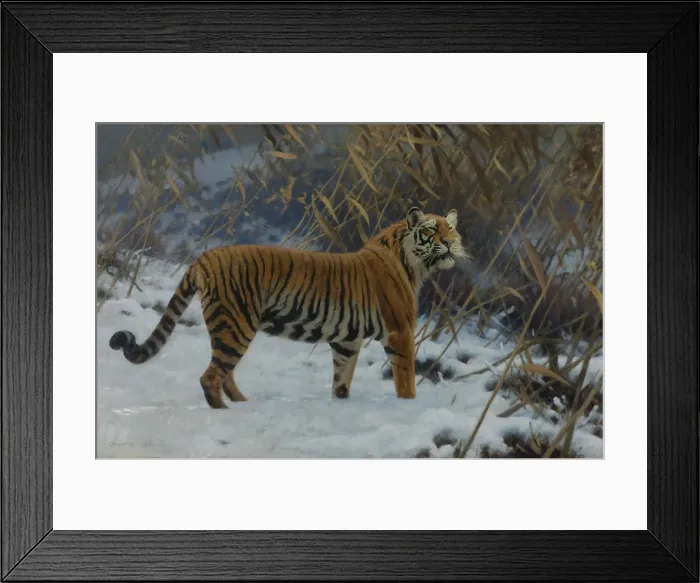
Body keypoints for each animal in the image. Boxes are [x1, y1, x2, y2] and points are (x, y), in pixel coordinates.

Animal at [109, 206, 471, 408]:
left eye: (452, 228)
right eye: (433, 229)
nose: (451, 242)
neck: (414, 263)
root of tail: (205, 256)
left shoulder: (346, 341)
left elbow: (341, 379)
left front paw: (340, 404)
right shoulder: (400, 331)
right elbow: (405, 380)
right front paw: (408, 406)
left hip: (229, 326)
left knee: (224, 373)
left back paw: (242, 404)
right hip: (236, 324)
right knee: (211, 376)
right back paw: (226, 412)